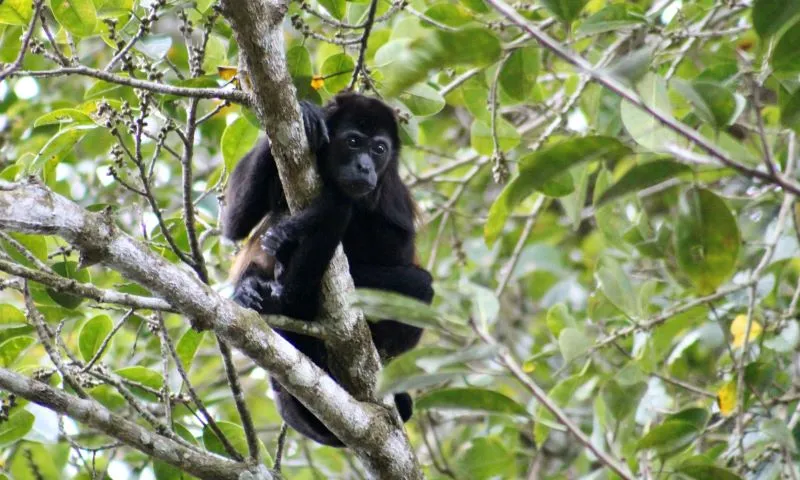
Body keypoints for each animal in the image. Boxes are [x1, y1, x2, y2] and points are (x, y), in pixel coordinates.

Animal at [222, 93, 434, 446]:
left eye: (379, 149)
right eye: (353, 142)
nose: (364, 167)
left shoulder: (392, 194)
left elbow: (397, 254)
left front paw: (300, 229)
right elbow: (235, 221)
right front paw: (308, 110)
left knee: (422, 285)